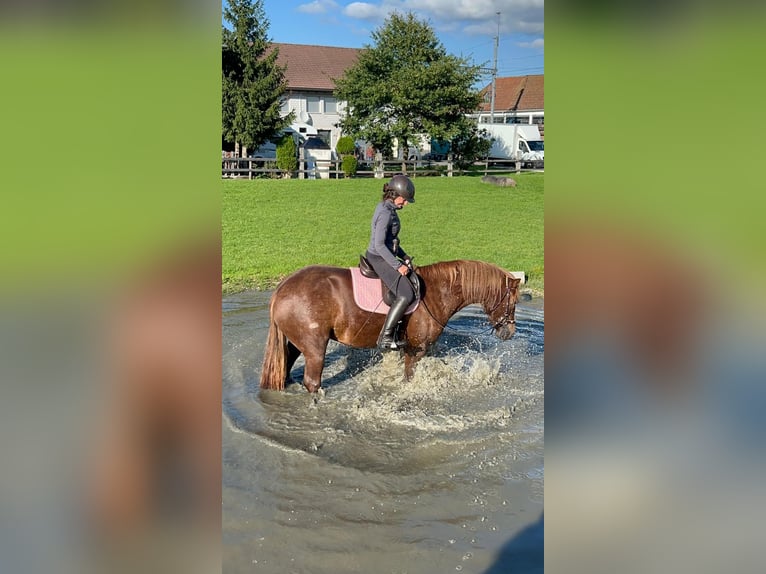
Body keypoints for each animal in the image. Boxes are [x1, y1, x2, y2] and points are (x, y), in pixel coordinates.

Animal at [260, 260, 524, 396]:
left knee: (286, 365)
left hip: (297, 343)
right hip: (315, 348)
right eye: (513, 301)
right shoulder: (415, 350)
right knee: (312, 382)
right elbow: (408, 379)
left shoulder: (424, 349)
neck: (436, 292)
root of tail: (283, 287)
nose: (509, 332)